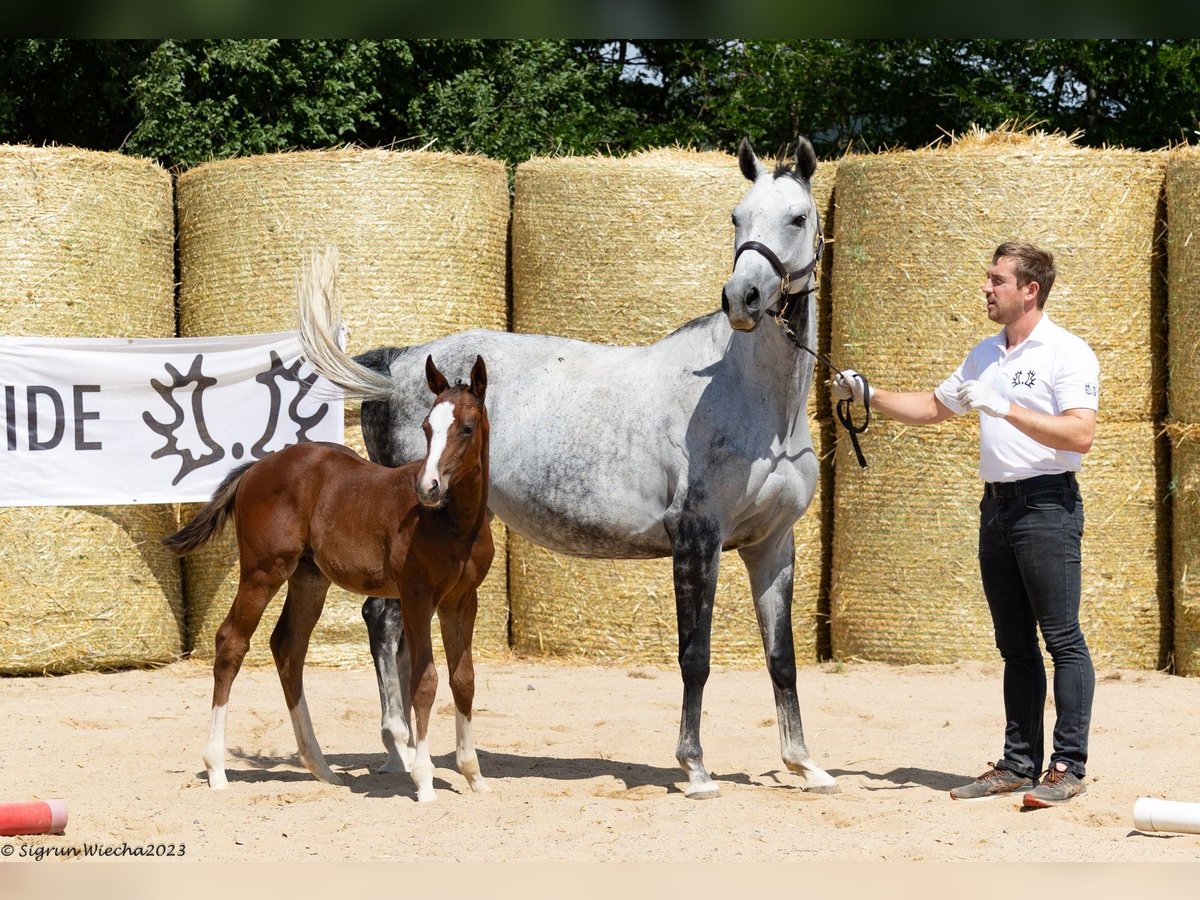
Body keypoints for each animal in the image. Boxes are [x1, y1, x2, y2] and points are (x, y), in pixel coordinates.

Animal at [164, 355, 492, 801]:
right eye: (426, 426)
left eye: (467, 427)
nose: (428, 486)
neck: (454, 524)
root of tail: (256, 467)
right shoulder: (416, 596)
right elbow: (424, 681)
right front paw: (423, 780)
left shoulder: (462, 600)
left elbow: (464, 680)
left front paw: (474, 775)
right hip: (262, 571)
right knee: (232, 641)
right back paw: (216, 768)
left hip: (309, 578)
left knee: (288, 646)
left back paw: (321, 767)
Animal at [296, 137, 840, 801]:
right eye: (736, 217)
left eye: (797, 217)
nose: (743, 299)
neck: (749, 399)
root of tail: (397, 364)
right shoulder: (697, 540)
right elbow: (695, 656)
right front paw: (695, 768)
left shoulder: (771, 546)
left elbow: (782, 658)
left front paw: (805, 764)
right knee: (384, 620)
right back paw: (401, 751)